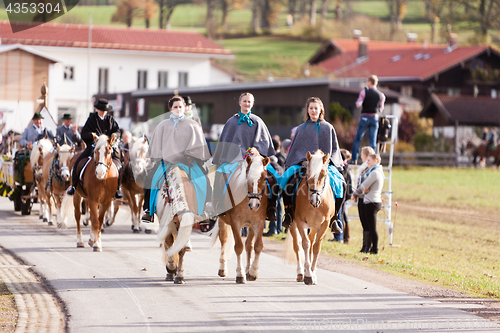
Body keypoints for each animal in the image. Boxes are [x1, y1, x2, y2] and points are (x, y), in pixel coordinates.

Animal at [210, 150, 270, 282]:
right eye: (248, 178)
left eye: (264, 178)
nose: (254, 205)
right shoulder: (235, 222)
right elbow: (238, 247)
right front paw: (240, 274)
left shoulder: (258, 222)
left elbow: (258, 246)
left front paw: (253, 272)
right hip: (223, 221)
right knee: (224, 239)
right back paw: (223, 268)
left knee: (249, 245)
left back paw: (248, 269)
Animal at [284, 150, 338, 282]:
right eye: (308, 175)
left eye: (323, 175)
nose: (315, 201)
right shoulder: (300, 222)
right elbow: (305, 244)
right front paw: (308, 275)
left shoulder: (324, 224)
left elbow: (316, 247)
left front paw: (312, 273)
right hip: (294, 224)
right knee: (297, 245)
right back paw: (300, 272)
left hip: (314, 226)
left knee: (312, 241)